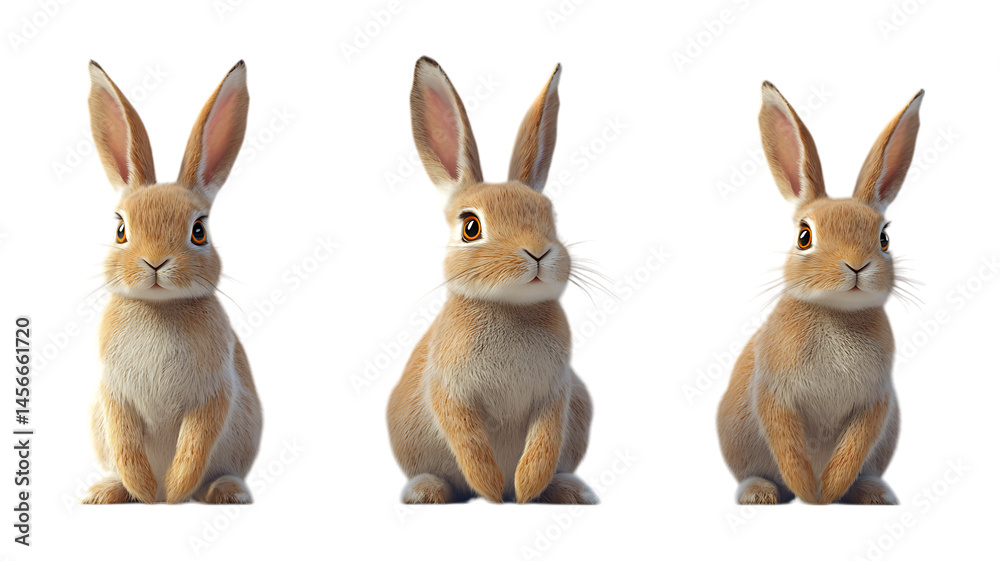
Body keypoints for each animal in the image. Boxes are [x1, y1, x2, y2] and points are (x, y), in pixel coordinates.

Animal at [81, 61, 262, 505]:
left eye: (199, 231)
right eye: (121, 230)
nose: (155, 262)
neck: (159, 307)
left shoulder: (216, 393)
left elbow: (197, 438)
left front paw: (177, 489)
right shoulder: (114, 394)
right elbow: (124, 439)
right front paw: (145, 490)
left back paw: (224, 492)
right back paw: (108, 491)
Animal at [386, 57, 597, 505]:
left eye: (549, 216)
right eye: (471, 227)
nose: (538, 253)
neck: (510, 307)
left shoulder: (556, 394)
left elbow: (544, 442)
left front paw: (525, 488)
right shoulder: (449, 392)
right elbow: (467, 439)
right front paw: (492, 490)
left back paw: (570, 491)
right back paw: (426, 492)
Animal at [717, 82, 923, 505]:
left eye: (884, 238)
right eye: (804, 236)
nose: (856, 265)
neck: (837, 312)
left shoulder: (875, 402)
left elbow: (853, 449)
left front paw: (827, 493)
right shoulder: (773, 393)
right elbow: (786, 446)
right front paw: (808, 494)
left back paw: (873, 493)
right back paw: (759, 493)